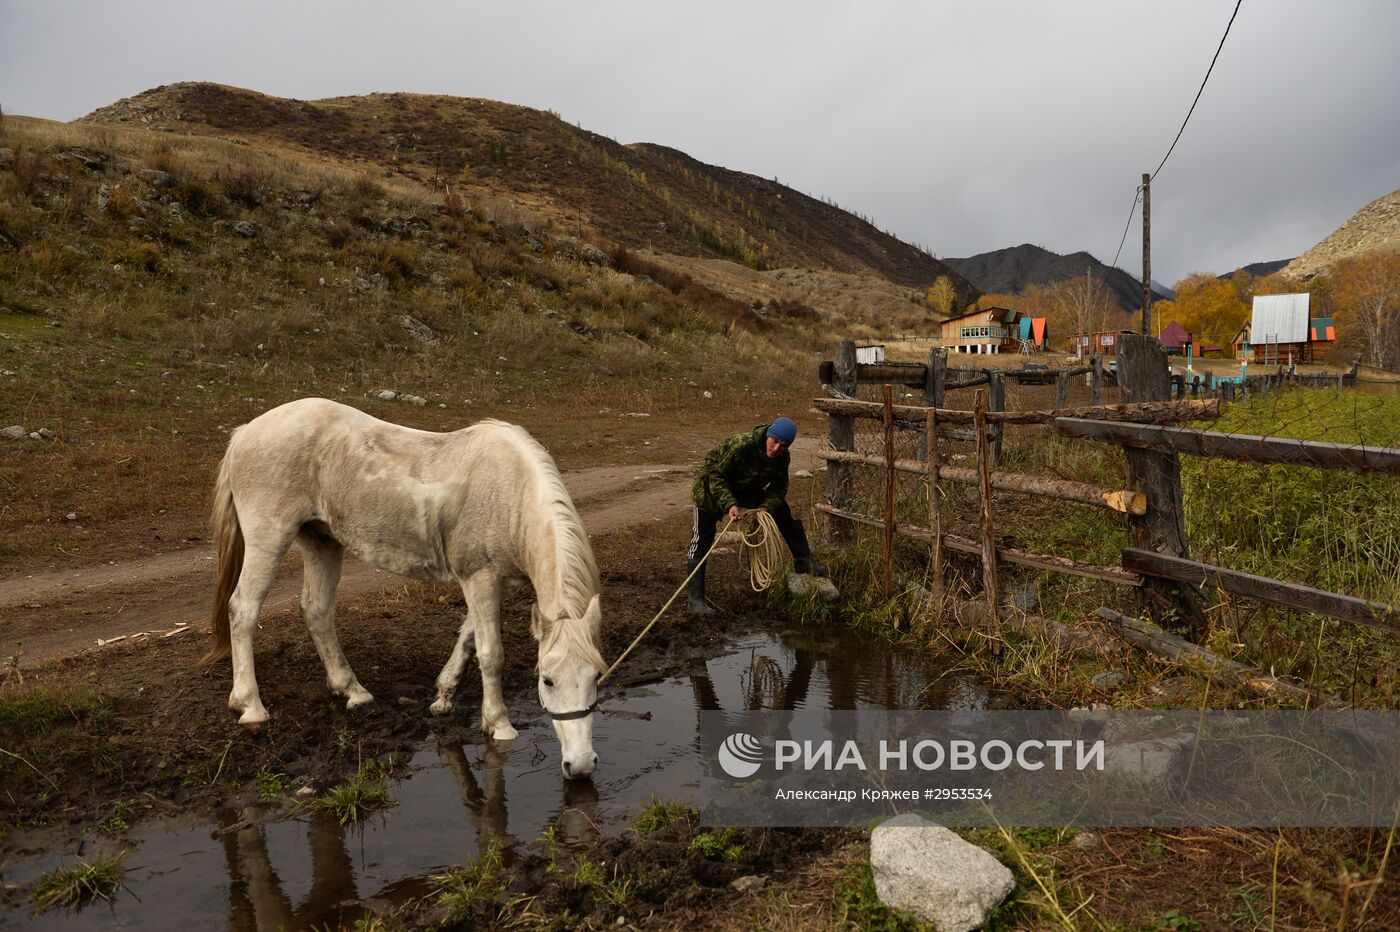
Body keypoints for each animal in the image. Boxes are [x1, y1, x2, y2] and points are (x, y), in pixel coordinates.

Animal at [200, 397, 604, 778]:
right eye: (547, 680)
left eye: (596, 676)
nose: (581, 765)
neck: (509, 495)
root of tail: (246, 433)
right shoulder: (480, 579)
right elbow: (491, 654)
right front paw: (498, 724)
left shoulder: (491, 583)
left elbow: (468, 638)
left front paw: (443, 697)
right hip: (269, 538)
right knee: (243, 610)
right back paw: (250, 706)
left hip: (321, 541)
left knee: (317, 611)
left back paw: (352, 691)